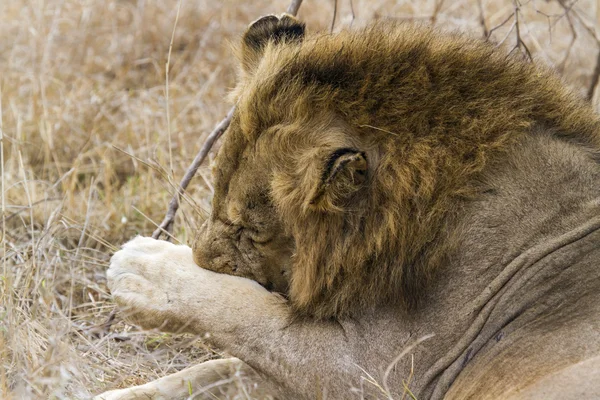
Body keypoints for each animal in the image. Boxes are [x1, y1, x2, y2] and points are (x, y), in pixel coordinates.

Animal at [96, 14, 600, 400]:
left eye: (249, 231)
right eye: (215, 199)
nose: (201, 258)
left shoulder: (383, 372)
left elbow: (248, 314)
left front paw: (145, 266)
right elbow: (217, 370)